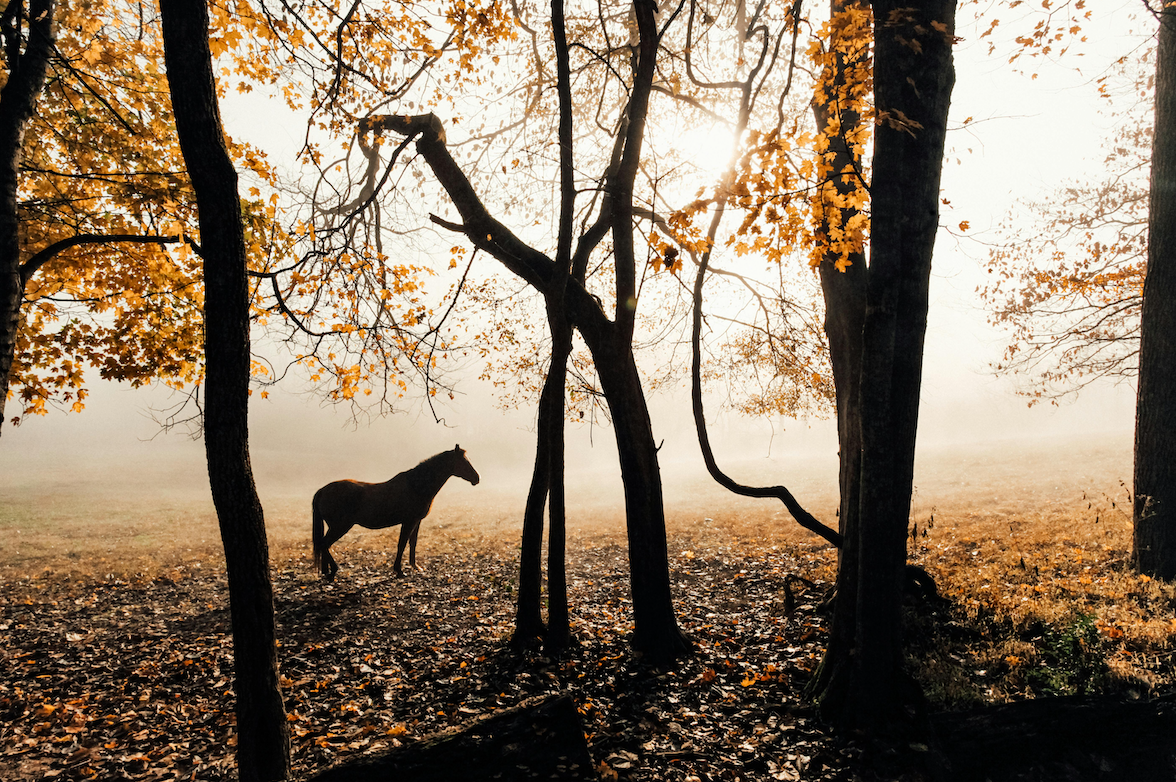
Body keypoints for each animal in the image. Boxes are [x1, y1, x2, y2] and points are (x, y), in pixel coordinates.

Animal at [312, 445, 480, 580]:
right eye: (463, 462)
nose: (477, 478)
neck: (416, 486)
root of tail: (322, 490)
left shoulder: (416, 521)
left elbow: (413, 543)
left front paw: (415, 567)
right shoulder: (409, 521)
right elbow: (402, 544)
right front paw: (399, 571)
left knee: (324, 545)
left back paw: (327, 571)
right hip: (340, 526)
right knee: (324, 544)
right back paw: (334, 570)